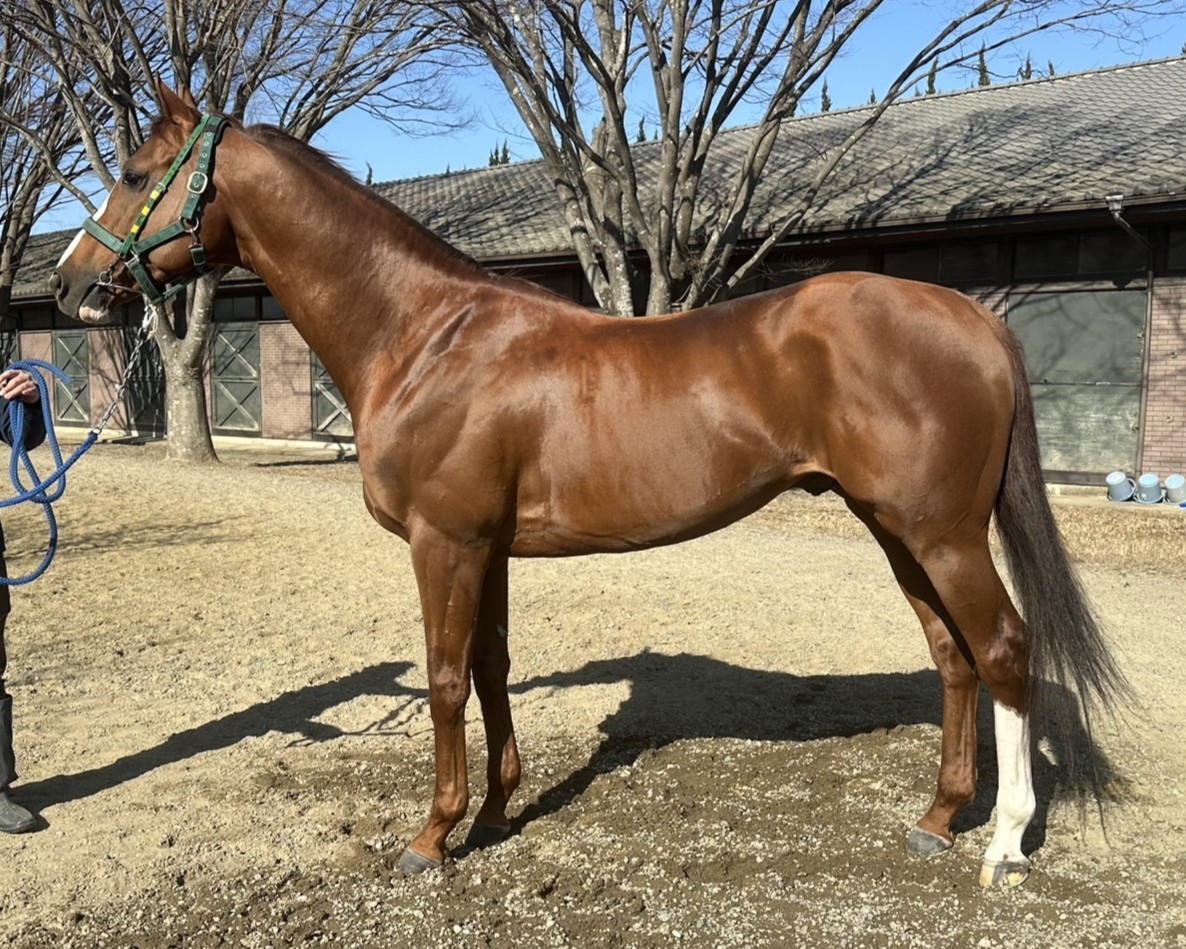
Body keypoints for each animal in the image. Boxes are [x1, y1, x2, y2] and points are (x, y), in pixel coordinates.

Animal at [52, 78, 1129, 888]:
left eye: (137, 175)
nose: (68, 284)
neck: (427, 335)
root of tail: (971, 315)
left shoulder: (444, 542)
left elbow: (443, 678)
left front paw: (430, 836)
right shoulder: (485, 548)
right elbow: (489, 668)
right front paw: (496, 807)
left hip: (940, 532)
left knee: (1003, 649)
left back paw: (1003, 846)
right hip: (895, 528)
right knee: (953, 658)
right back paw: (936, 819)